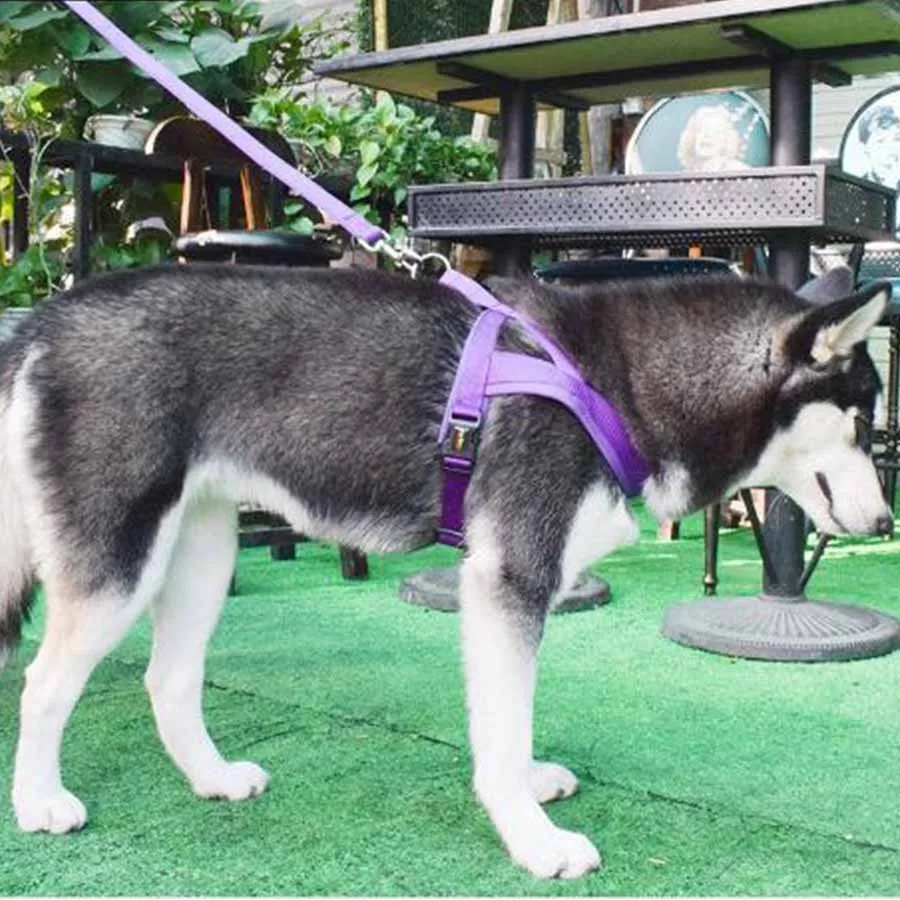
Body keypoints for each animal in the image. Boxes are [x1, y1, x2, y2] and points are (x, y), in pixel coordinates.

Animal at [0, 260, 884, 880]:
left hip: (199, 555)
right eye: (861, 419)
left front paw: (527, 790)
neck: (612, 377)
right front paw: (533, 840)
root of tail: (47, 316)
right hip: (119, 561)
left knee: (169, 677)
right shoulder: (510, 576)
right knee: (43, 682)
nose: (884, 522)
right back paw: (39, 801)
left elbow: (503, 723)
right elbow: (502, 726)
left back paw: (211, 778)